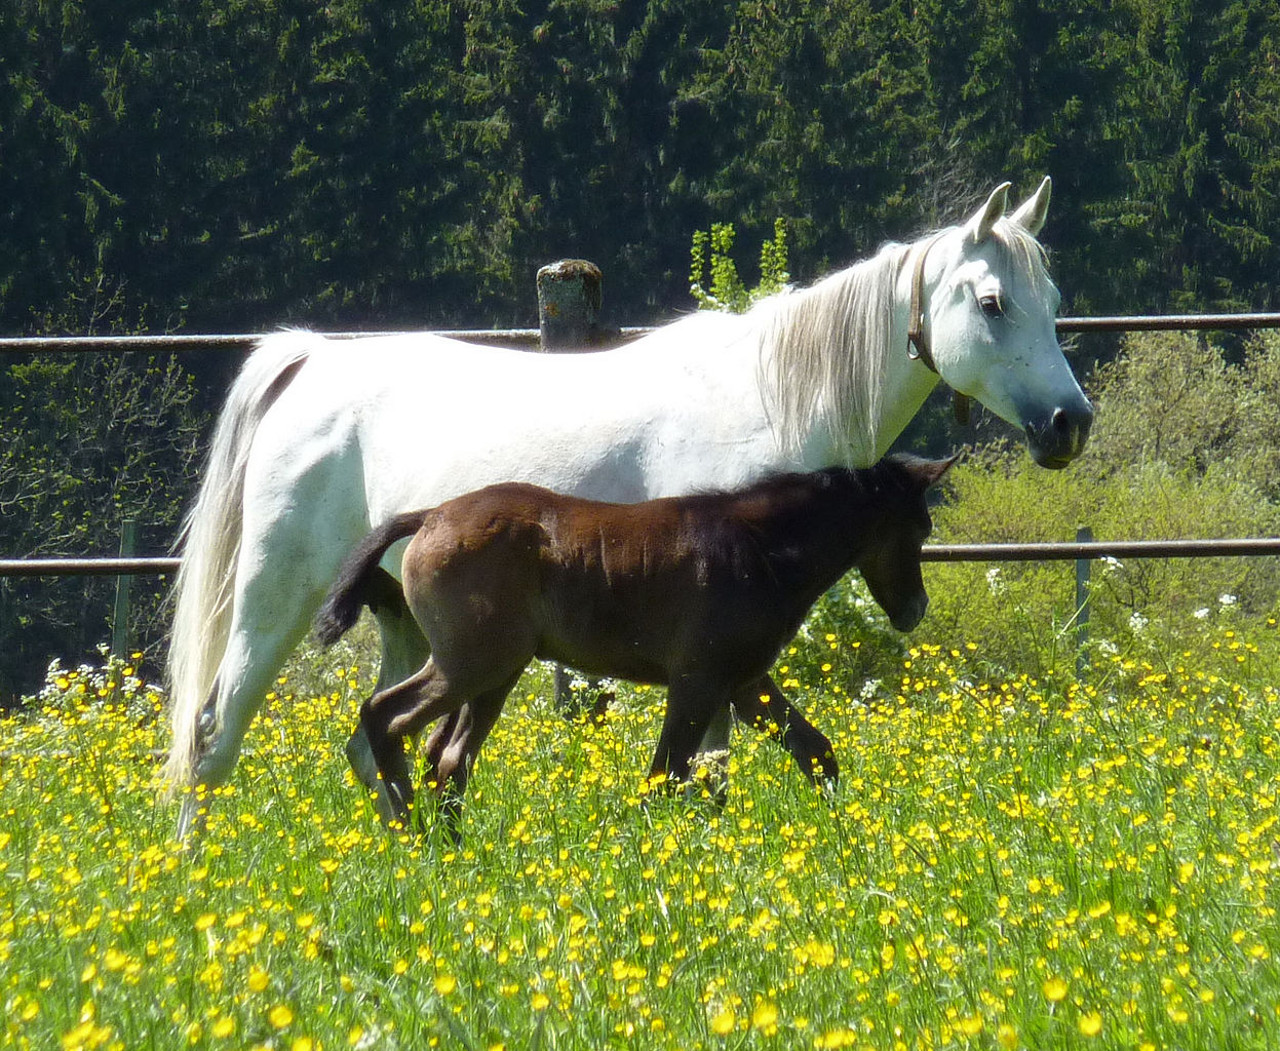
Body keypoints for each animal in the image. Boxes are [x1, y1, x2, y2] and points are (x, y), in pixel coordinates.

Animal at [313, 453, 957, 826]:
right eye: (920, 526)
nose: (916, 610)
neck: (757, 548)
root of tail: (430, 516)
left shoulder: (744, 682)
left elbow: (815, 751)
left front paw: (842, 834)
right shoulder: (698, 682)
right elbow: (665, 776)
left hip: (494, 675)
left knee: (446, 759)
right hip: (472, 664)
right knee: (386, 717)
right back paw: (407, 829)